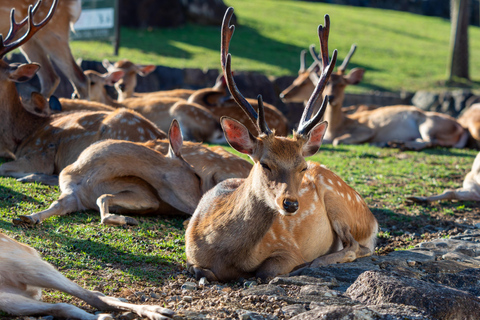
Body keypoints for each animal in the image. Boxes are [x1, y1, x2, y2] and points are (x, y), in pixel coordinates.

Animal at [13, 119, 253, 226]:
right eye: (195, 175)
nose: (201, 202)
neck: (89, 173)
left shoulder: (146, 195)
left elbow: (103, 196)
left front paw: (126, 219)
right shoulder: (73, 194)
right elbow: (56, 205)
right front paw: (26, 217)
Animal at [186, 8, 376, 282]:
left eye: (302, 167)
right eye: (265, 164)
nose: (291, 204)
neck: (223, 254)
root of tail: (372, 221)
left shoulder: (288, 249)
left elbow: (267, 270)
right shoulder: (190, 254)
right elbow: (198, 268)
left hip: (338, 200)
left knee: (354, 247)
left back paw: (313, 263)